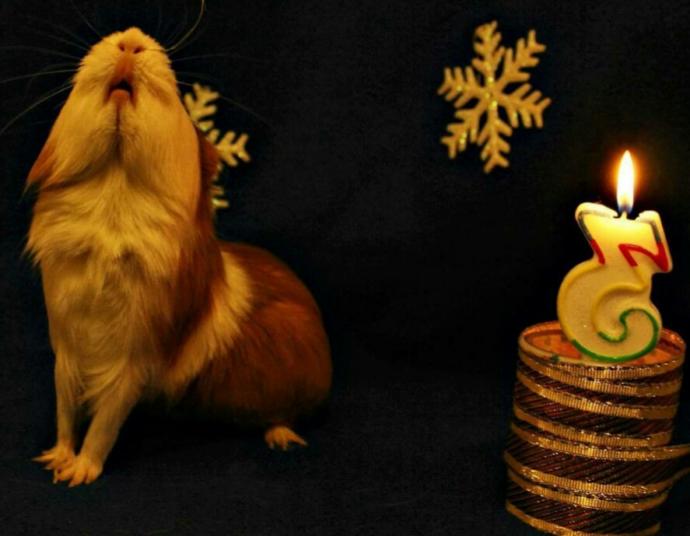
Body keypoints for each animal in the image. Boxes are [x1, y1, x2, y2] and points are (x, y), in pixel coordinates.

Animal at [27, 27, 332, 486]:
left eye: (179, 103)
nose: (131, 38)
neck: (114, 193)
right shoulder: (67, 350)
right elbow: (67, 411)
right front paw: (54, 461)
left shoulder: (134, 361)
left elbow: (104, 424)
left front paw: (79, 474)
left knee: (283, 417)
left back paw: (281, 440)